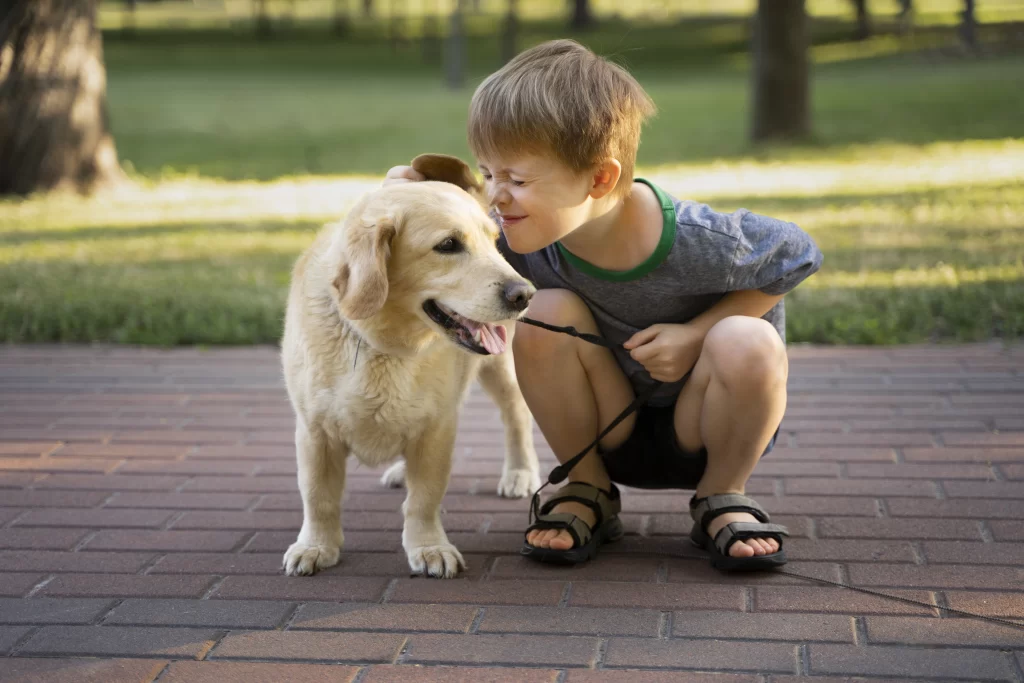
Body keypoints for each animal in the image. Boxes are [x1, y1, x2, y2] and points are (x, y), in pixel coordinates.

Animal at [276, 153, 540, 577]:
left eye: (494, 242)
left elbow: (424, 498)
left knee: (516, 418)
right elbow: (318, 496)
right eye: (447, 245)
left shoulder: (437, 428)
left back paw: (520, 472)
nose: (524, 294)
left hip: (503, 372)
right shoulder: (315, 431)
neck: (384, 345)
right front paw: (316, 545)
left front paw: (429, 547)